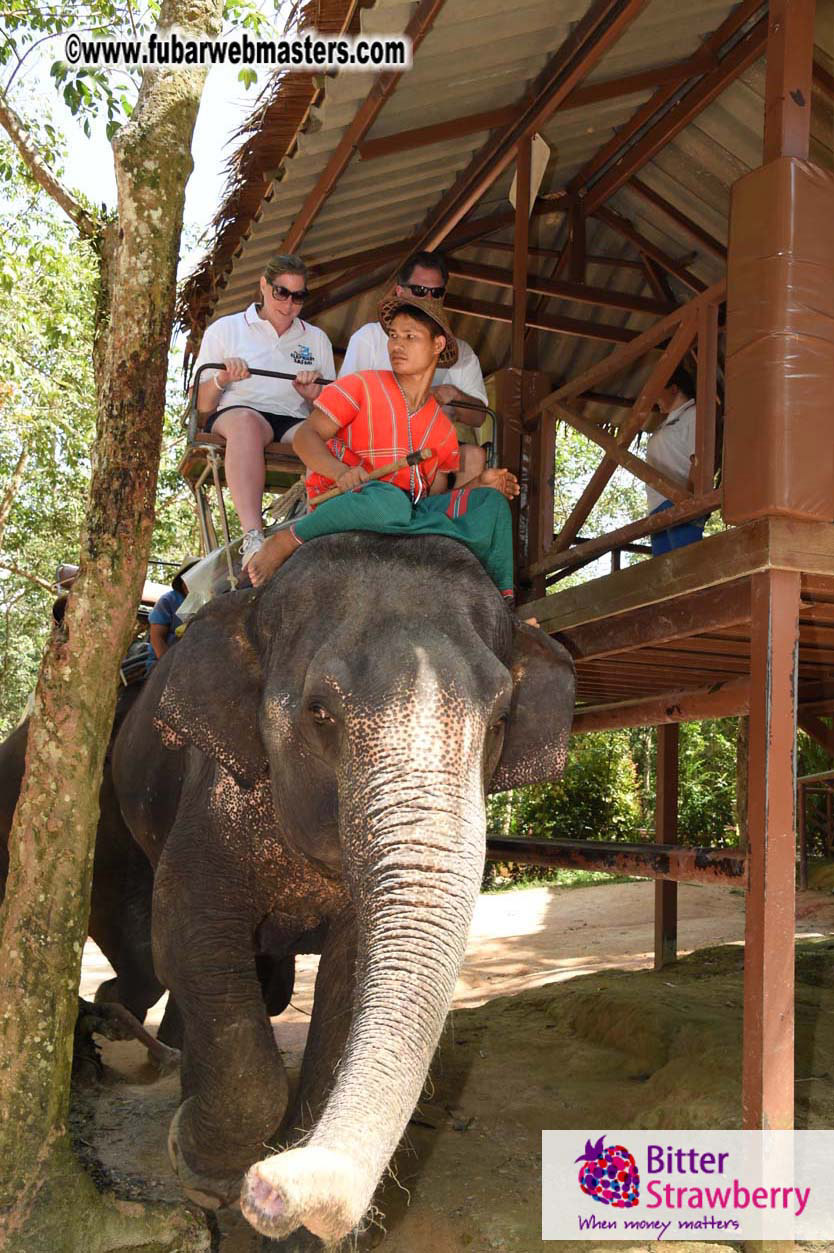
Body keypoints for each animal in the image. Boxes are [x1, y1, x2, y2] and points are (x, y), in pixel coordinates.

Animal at [111, 529, 575, 1247]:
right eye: (319, 711)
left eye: (501, 717)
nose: (273, 1189)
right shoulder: (210, 795)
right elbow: (185, 936)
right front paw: (201, 1172)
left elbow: (350, 977)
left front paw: (293, 1223)